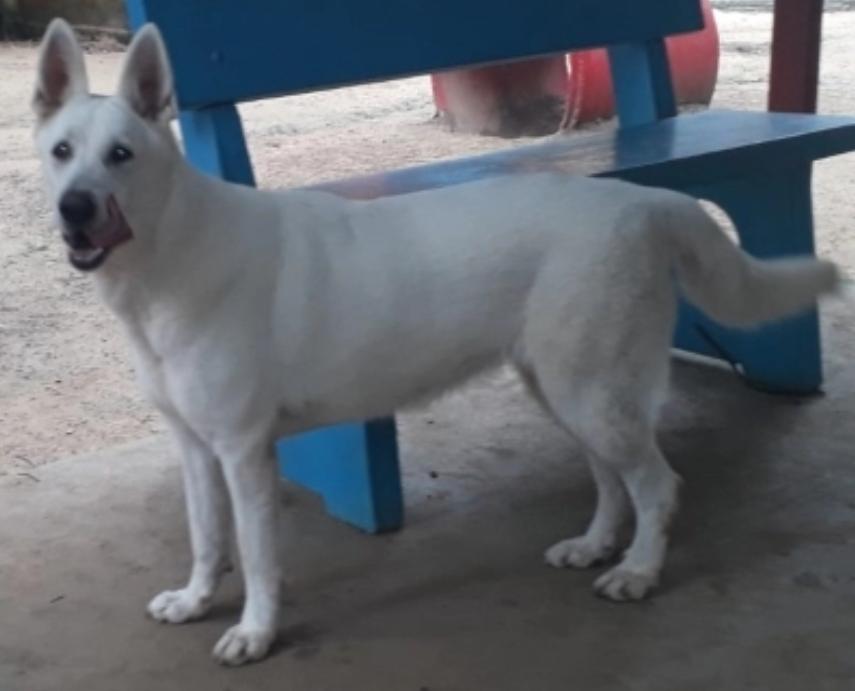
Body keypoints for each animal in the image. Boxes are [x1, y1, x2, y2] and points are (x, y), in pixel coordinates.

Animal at [33, 17, 836, 664]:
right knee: (612, 480)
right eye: (61, 151)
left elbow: (257, 558)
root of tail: (641, 198)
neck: (168, 259)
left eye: (122, 155)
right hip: (565, 389)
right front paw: (197, 600)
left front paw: (255, 632)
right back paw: (594, 544)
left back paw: (637, 570)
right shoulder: (196, 449)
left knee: (657, 486)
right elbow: (206, 539)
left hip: (591, 392)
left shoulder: (242, 451)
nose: (74, 209)